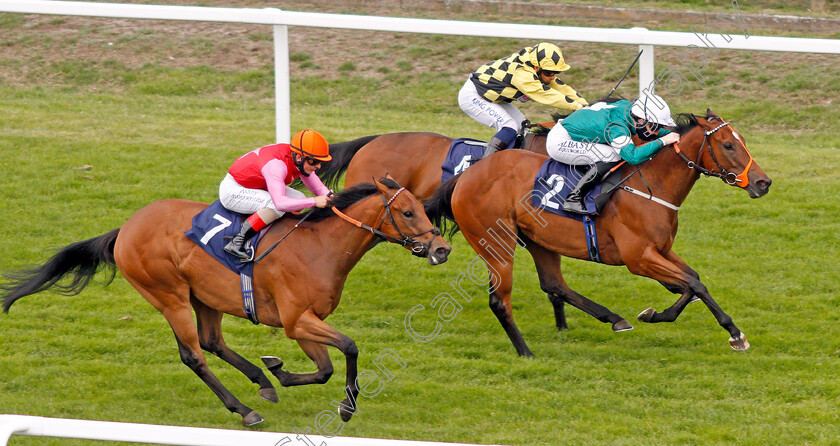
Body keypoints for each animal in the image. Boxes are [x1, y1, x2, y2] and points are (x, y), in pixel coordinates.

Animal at [0, 177, 452, 426]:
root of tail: (125, 228)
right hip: (169, 296)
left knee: (213, 341)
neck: (320, 245)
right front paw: (345, 407)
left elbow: (324, 368)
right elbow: (350, 347)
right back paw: (244, 409)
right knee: (194, 354)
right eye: (408, 213)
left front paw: (280, 372)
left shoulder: (303, 323)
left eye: (421, 208)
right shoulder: (296, 320)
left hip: (205, 296)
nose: (442, 249)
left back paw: (262, 381)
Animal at [424, 110, 772, 358]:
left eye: (742, 140)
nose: (763, 182)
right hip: (496, 245)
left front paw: (652, 314)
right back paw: (525, 351)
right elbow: (694, 284)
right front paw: (735, 334)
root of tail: (466, 175)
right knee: (500, 301)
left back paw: (614, 318)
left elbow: (690, 282)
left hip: (539, 241)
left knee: (554, 284)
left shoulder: (660, 250)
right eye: (728, 145)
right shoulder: (638, 258)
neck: (650, 186)